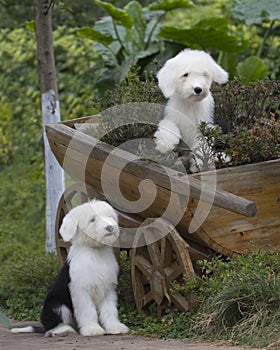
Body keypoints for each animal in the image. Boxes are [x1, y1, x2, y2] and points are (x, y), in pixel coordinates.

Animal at [10, 200, 129, 336]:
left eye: (110, 216)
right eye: (92, 219)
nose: (110, 227)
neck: (96, 252)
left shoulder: (108, 288)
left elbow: (109, 310)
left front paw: (115, 327)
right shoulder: (81, 290)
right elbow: (88, 311)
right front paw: (92, 329)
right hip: (57, 306)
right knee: (52, 328)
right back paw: (63, 330)